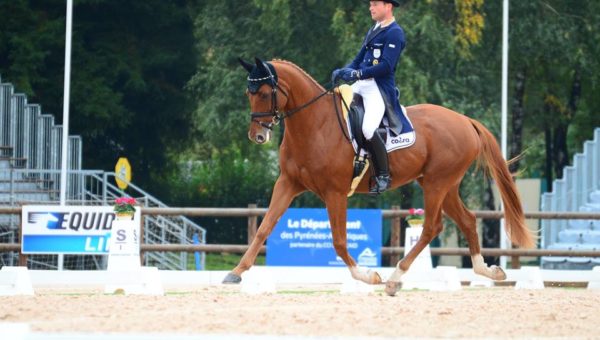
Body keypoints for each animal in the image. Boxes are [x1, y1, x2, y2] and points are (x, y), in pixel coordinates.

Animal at [223, 57, 532, 294]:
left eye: (264, 93)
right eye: (249, 93)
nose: (257, 136)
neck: (315, 124)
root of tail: (465, 120)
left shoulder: (335, 193)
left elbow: (339, 241)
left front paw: (367, 275)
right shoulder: (288, 183)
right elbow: (264, 227)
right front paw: (236, 272)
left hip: (437, 183)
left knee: (431, 227)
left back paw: (394, 279)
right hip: (444, 185)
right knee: (467, 220)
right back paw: (489, 271)